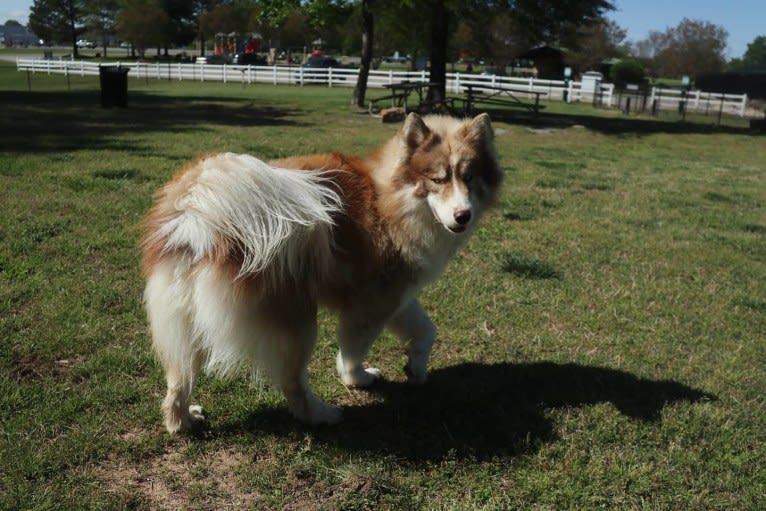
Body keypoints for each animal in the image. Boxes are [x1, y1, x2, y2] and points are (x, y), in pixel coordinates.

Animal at [142, 113, 504, 432]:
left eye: (469, 177)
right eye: (437, 179)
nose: (463, 215)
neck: (392, 198)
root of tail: (199, 215)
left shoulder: (399, 293)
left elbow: (426, 330)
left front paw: (415, 368)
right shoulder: (374, 300)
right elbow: (354, 349)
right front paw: (357, 378)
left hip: (185, 319)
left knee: (179, 379)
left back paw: (183, 421)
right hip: (298, 321)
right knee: (293, 383)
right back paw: (321, 415)